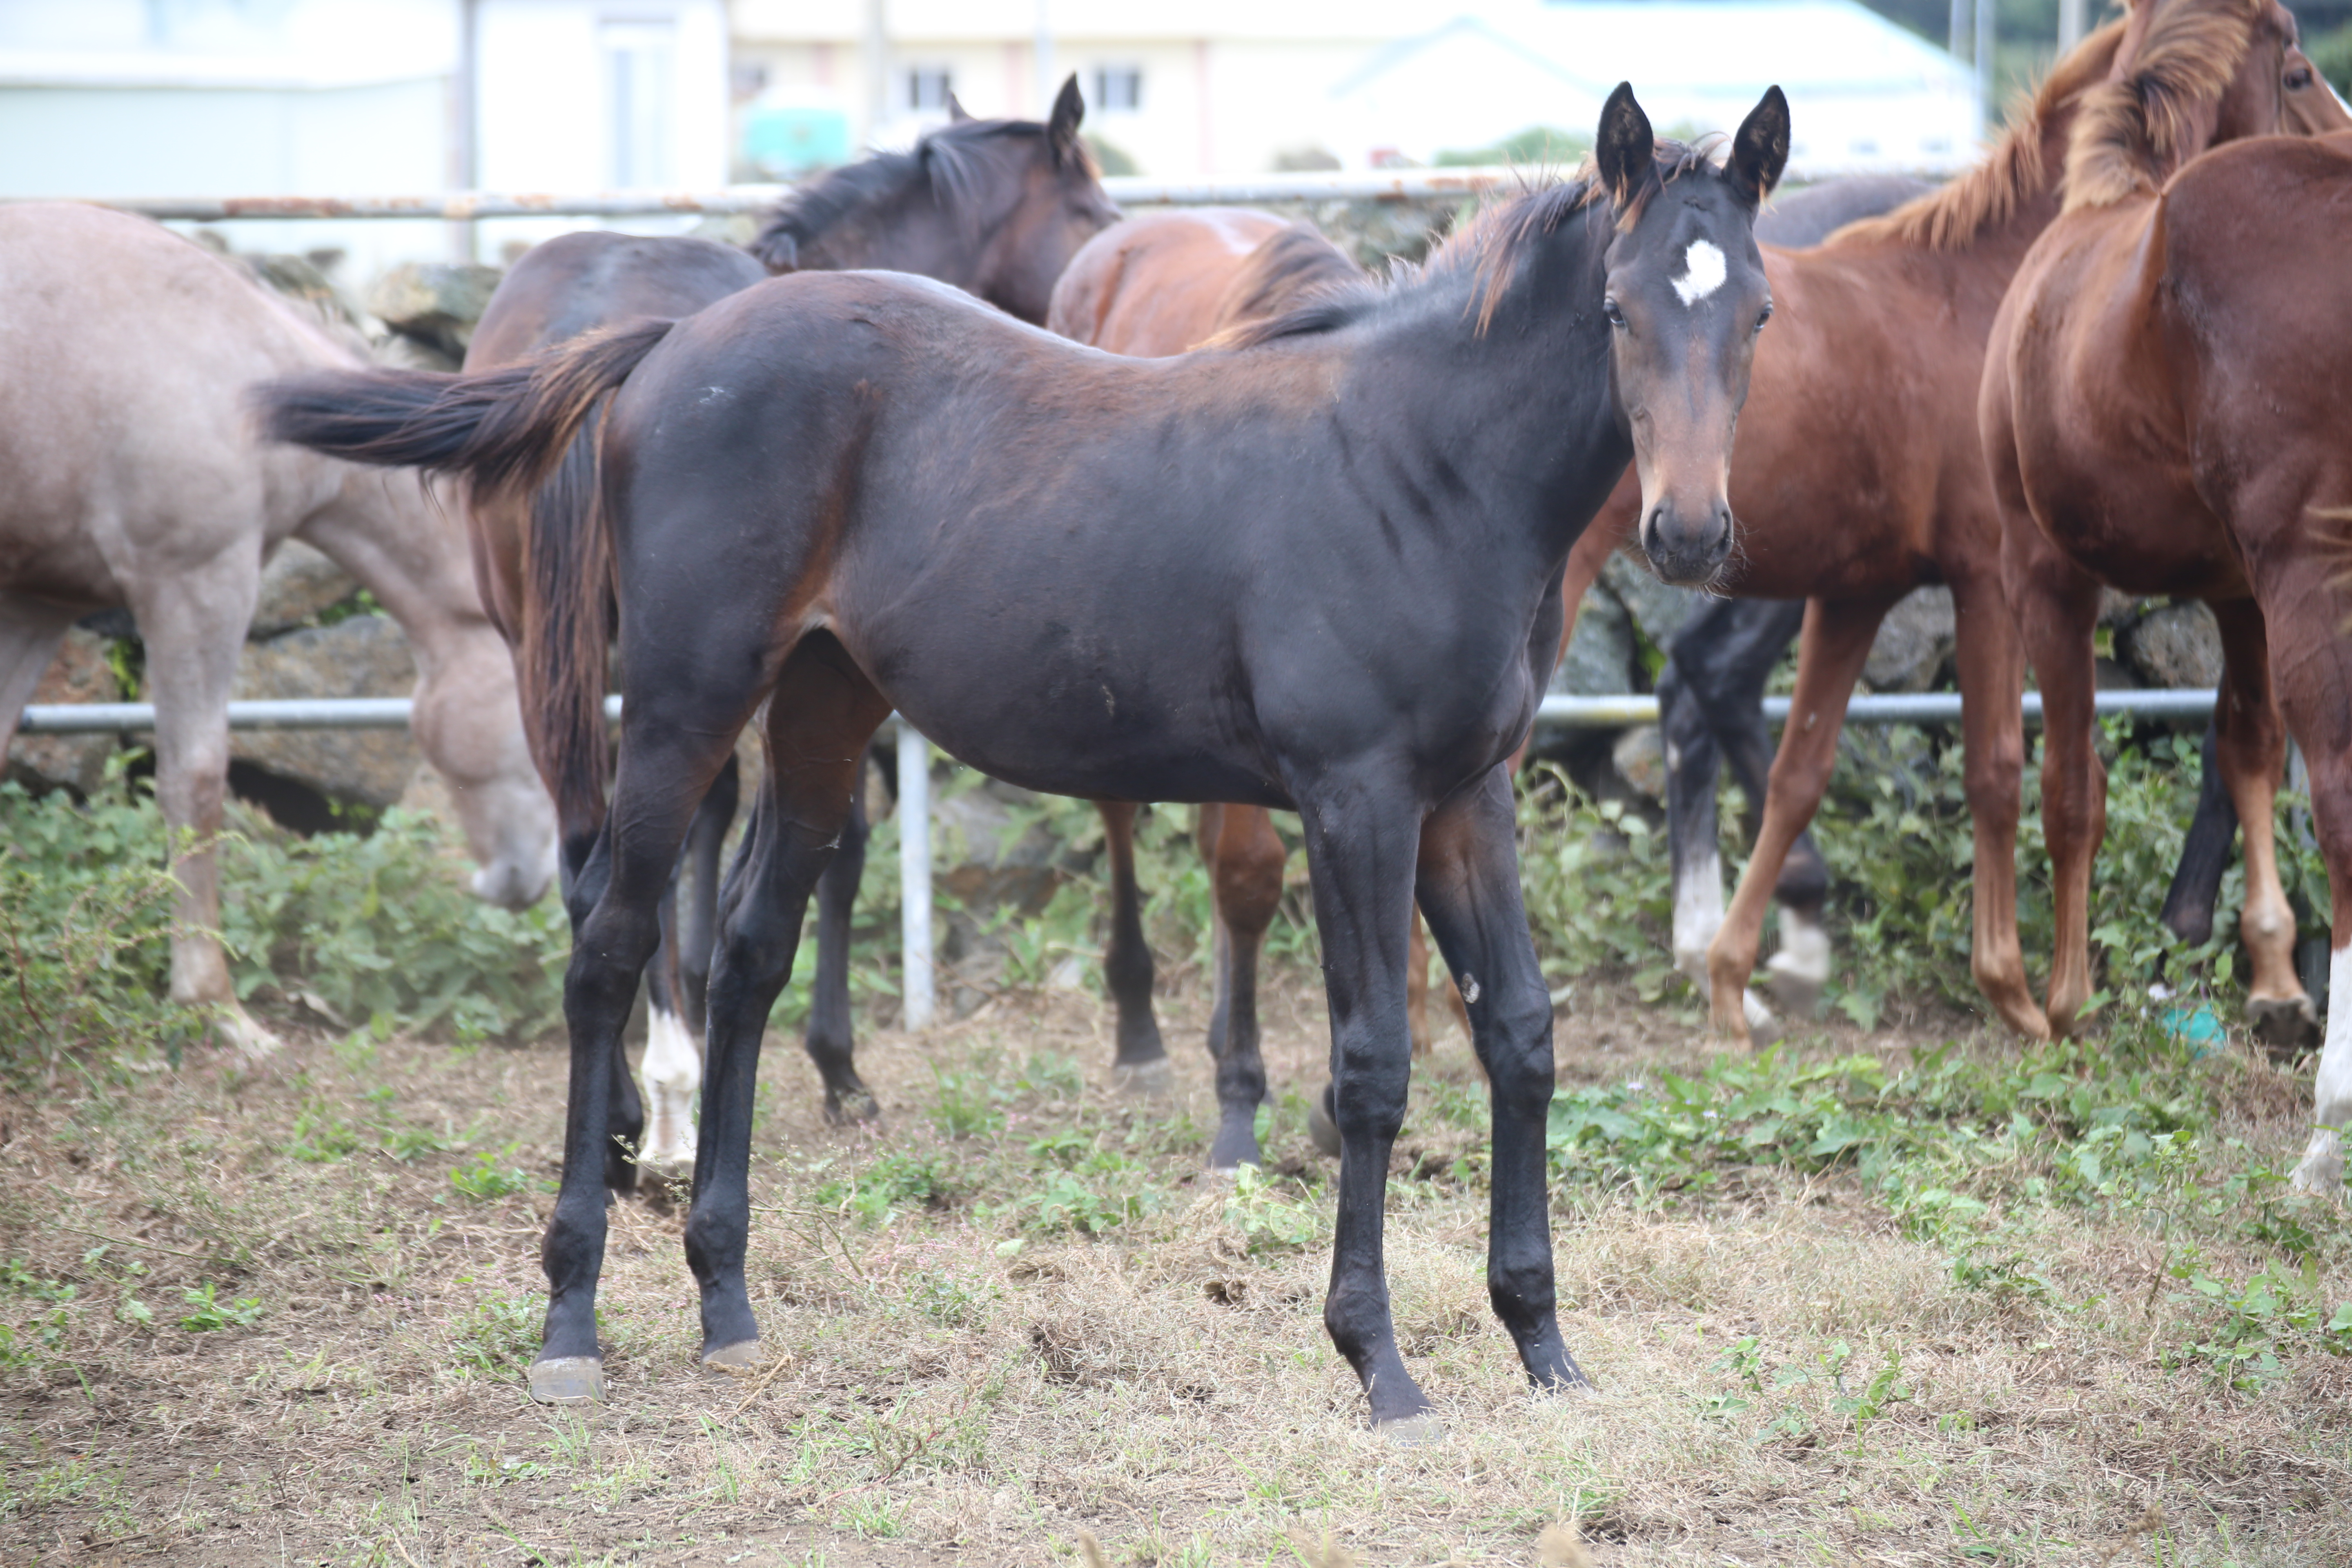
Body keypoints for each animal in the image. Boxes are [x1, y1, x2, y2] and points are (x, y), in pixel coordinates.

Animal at [0, 200, 555, 1053]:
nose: (526, 883)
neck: (238, 376)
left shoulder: (35, 605)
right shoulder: (198, 582)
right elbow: (195, 781)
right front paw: (214, 1005)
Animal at [257, 89, 1787, 1439]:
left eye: (1759, 312)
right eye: (1619, 309)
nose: (1692, 533)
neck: (1418, 468)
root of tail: (667, 340)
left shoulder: (1468, 794)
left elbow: (1521, 1035)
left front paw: (1544, 1346)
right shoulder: (1356, 795)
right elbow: (1374, 1066)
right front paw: (1382, 1368)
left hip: (818, 710)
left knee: (748, 957)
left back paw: (728, 1305)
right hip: (686, 706)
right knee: (611, 948)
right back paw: (571, 1320)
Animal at [1543, 9, 2333, 1053]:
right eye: (2299, 73)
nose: (2339, 147)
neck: (2005, 291)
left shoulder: (1865, 584)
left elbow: (1808, 763)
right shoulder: (1993, 577)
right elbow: (2001, 766)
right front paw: (2018, 989)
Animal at [1985, 15, 2352, 1189]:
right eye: (2300, 73)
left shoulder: (2040, 569)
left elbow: (2069, 785)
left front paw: (2060, 1003)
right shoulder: (2235, 593)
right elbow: (2238, 747)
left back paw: (2328, 1133)